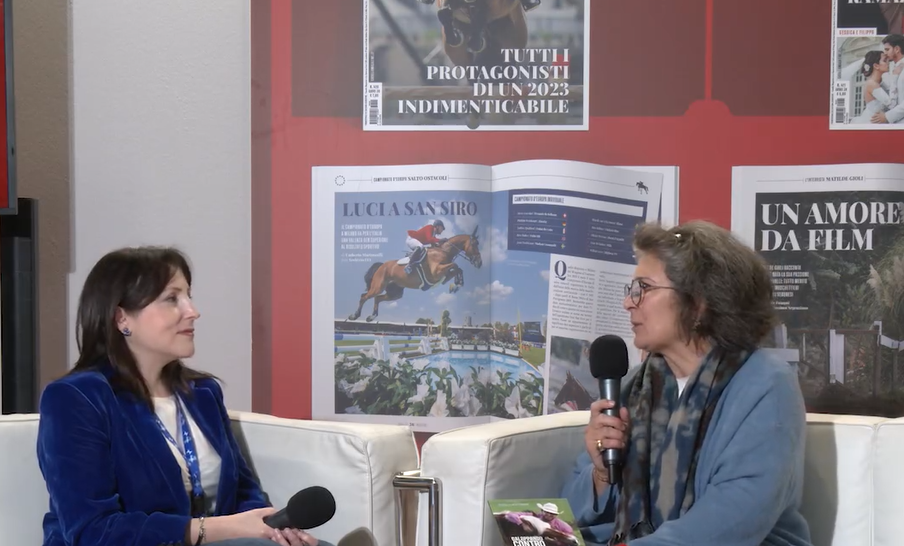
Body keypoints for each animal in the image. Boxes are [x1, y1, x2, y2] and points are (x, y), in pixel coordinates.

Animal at [350, 226, 484, 320]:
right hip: (378, 286)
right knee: (364, 297)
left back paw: (371, 317)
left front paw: (456, 285)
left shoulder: (443, 275)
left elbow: (458, 269)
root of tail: (382, 266)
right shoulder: (436, 272)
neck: (443, 251)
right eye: (474, 244)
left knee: (377, 298)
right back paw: (354, 315)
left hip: (395, 292)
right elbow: (456, 266)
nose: (480, 263)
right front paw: (457, 284)